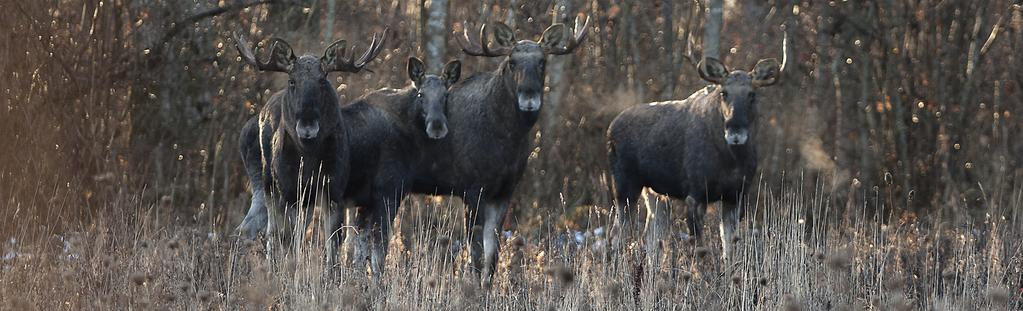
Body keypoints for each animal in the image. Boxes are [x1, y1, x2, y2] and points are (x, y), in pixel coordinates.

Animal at [234, 30, 384, 270]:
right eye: (292, 81)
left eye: (322, 80)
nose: (307, 126)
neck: (310, 160)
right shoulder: (289, 191)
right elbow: (289, 237)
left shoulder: (333, 190)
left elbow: (332, 242)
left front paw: (330, 274)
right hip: (268, 183)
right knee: (269, 232)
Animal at [235, 55, 460, 274]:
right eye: (421, 95)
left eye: (446, 96)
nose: (437, 126)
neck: (410, 134)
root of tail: (254, 125)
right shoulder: (387, 193)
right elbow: (378, 254)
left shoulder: (363, 202)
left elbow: (359, 252)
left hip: (273, 191)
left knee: (251, 231)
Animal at [401, 16, 585, 284]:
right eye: (512, 61)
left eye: (542, 61)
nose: (529, 98)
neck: (507, 140)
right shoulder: (472, 189)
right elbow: (476, 256)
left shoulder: (504, 192)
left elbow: (492, 256)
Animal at [605, 56, 781, 259]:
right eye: (724, 93)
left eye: (752, 94)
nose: (735, 131)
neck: (731, 160)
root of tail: (610, 128)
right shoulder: (695, 194)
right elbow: (700, 250)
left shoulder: (735, 196)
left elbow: (729, 247)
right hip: (625, 187)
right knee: (616, 235)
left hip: (655, 193)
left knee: (651, 237)